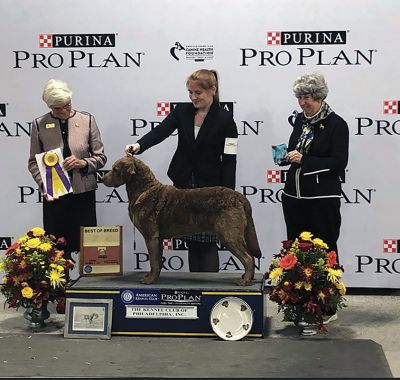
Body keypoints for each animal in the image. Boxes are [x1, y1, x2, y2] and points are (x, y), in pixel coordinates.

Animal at [101, 155, 260, 284]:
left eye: (115, 169)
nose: (102, 179)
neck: (144, 189)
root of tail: (240, 196)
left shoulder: (151, 236)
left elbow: (153, 261)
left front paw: (149, 280)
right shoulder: (158, 238)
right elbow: (157, 261)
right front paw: (154, 277)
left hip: (228, 235)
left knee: (248, 258)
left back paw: (244, 280)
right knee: (251, 256)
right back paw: (248, 277)